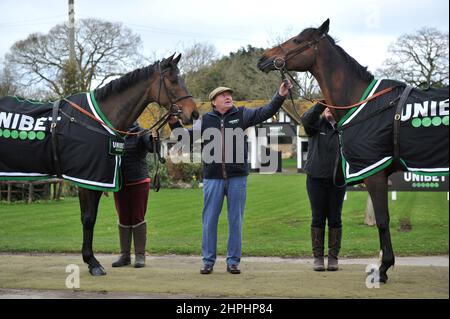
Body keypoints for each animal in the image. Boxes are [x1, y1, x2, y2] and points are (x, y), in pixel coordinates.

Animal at [0, 53, 199, 276]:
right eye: (173, 80)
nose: (193, 113)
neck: (96, 121)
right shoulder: (86, 178)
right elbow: (88, 218)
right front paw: (92, 262)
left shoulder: (94, 179)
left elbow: (91, 217)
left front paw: (91, 260)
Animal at [258, 18, 448, 282]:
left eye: (296, 40)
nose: (263, 58)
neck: (365, 104)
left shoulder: (375, 172)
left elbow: (382, 220)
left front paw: (383, 268)